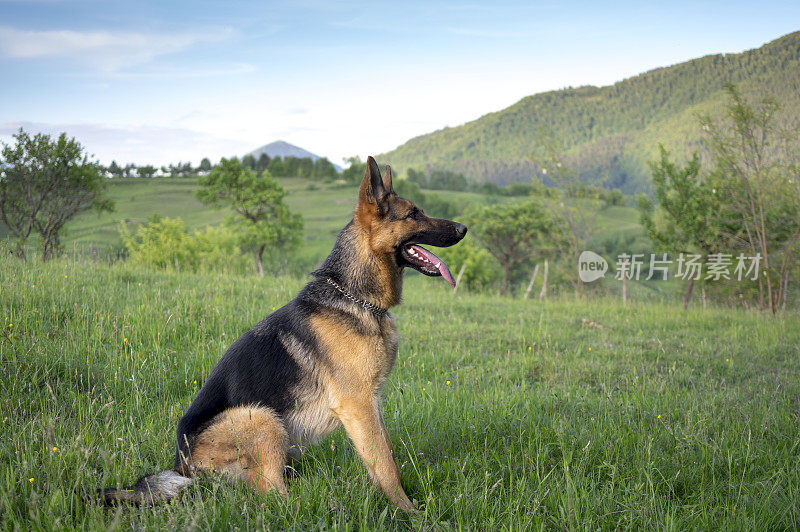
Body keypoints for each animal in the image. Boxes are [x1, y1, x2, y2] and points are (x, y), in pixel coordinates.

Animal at [97, 157, 466, 512]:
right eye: (414, 214)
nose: (465, 228)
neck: (353, 297)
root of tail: (182, 469)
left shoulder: (371, 404)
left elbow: (386, 454)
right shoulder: (358, 405)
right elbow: (386, 466)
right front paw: (409, 512)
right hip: (263, 419)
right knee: (273, 498)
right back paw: (327, 506)